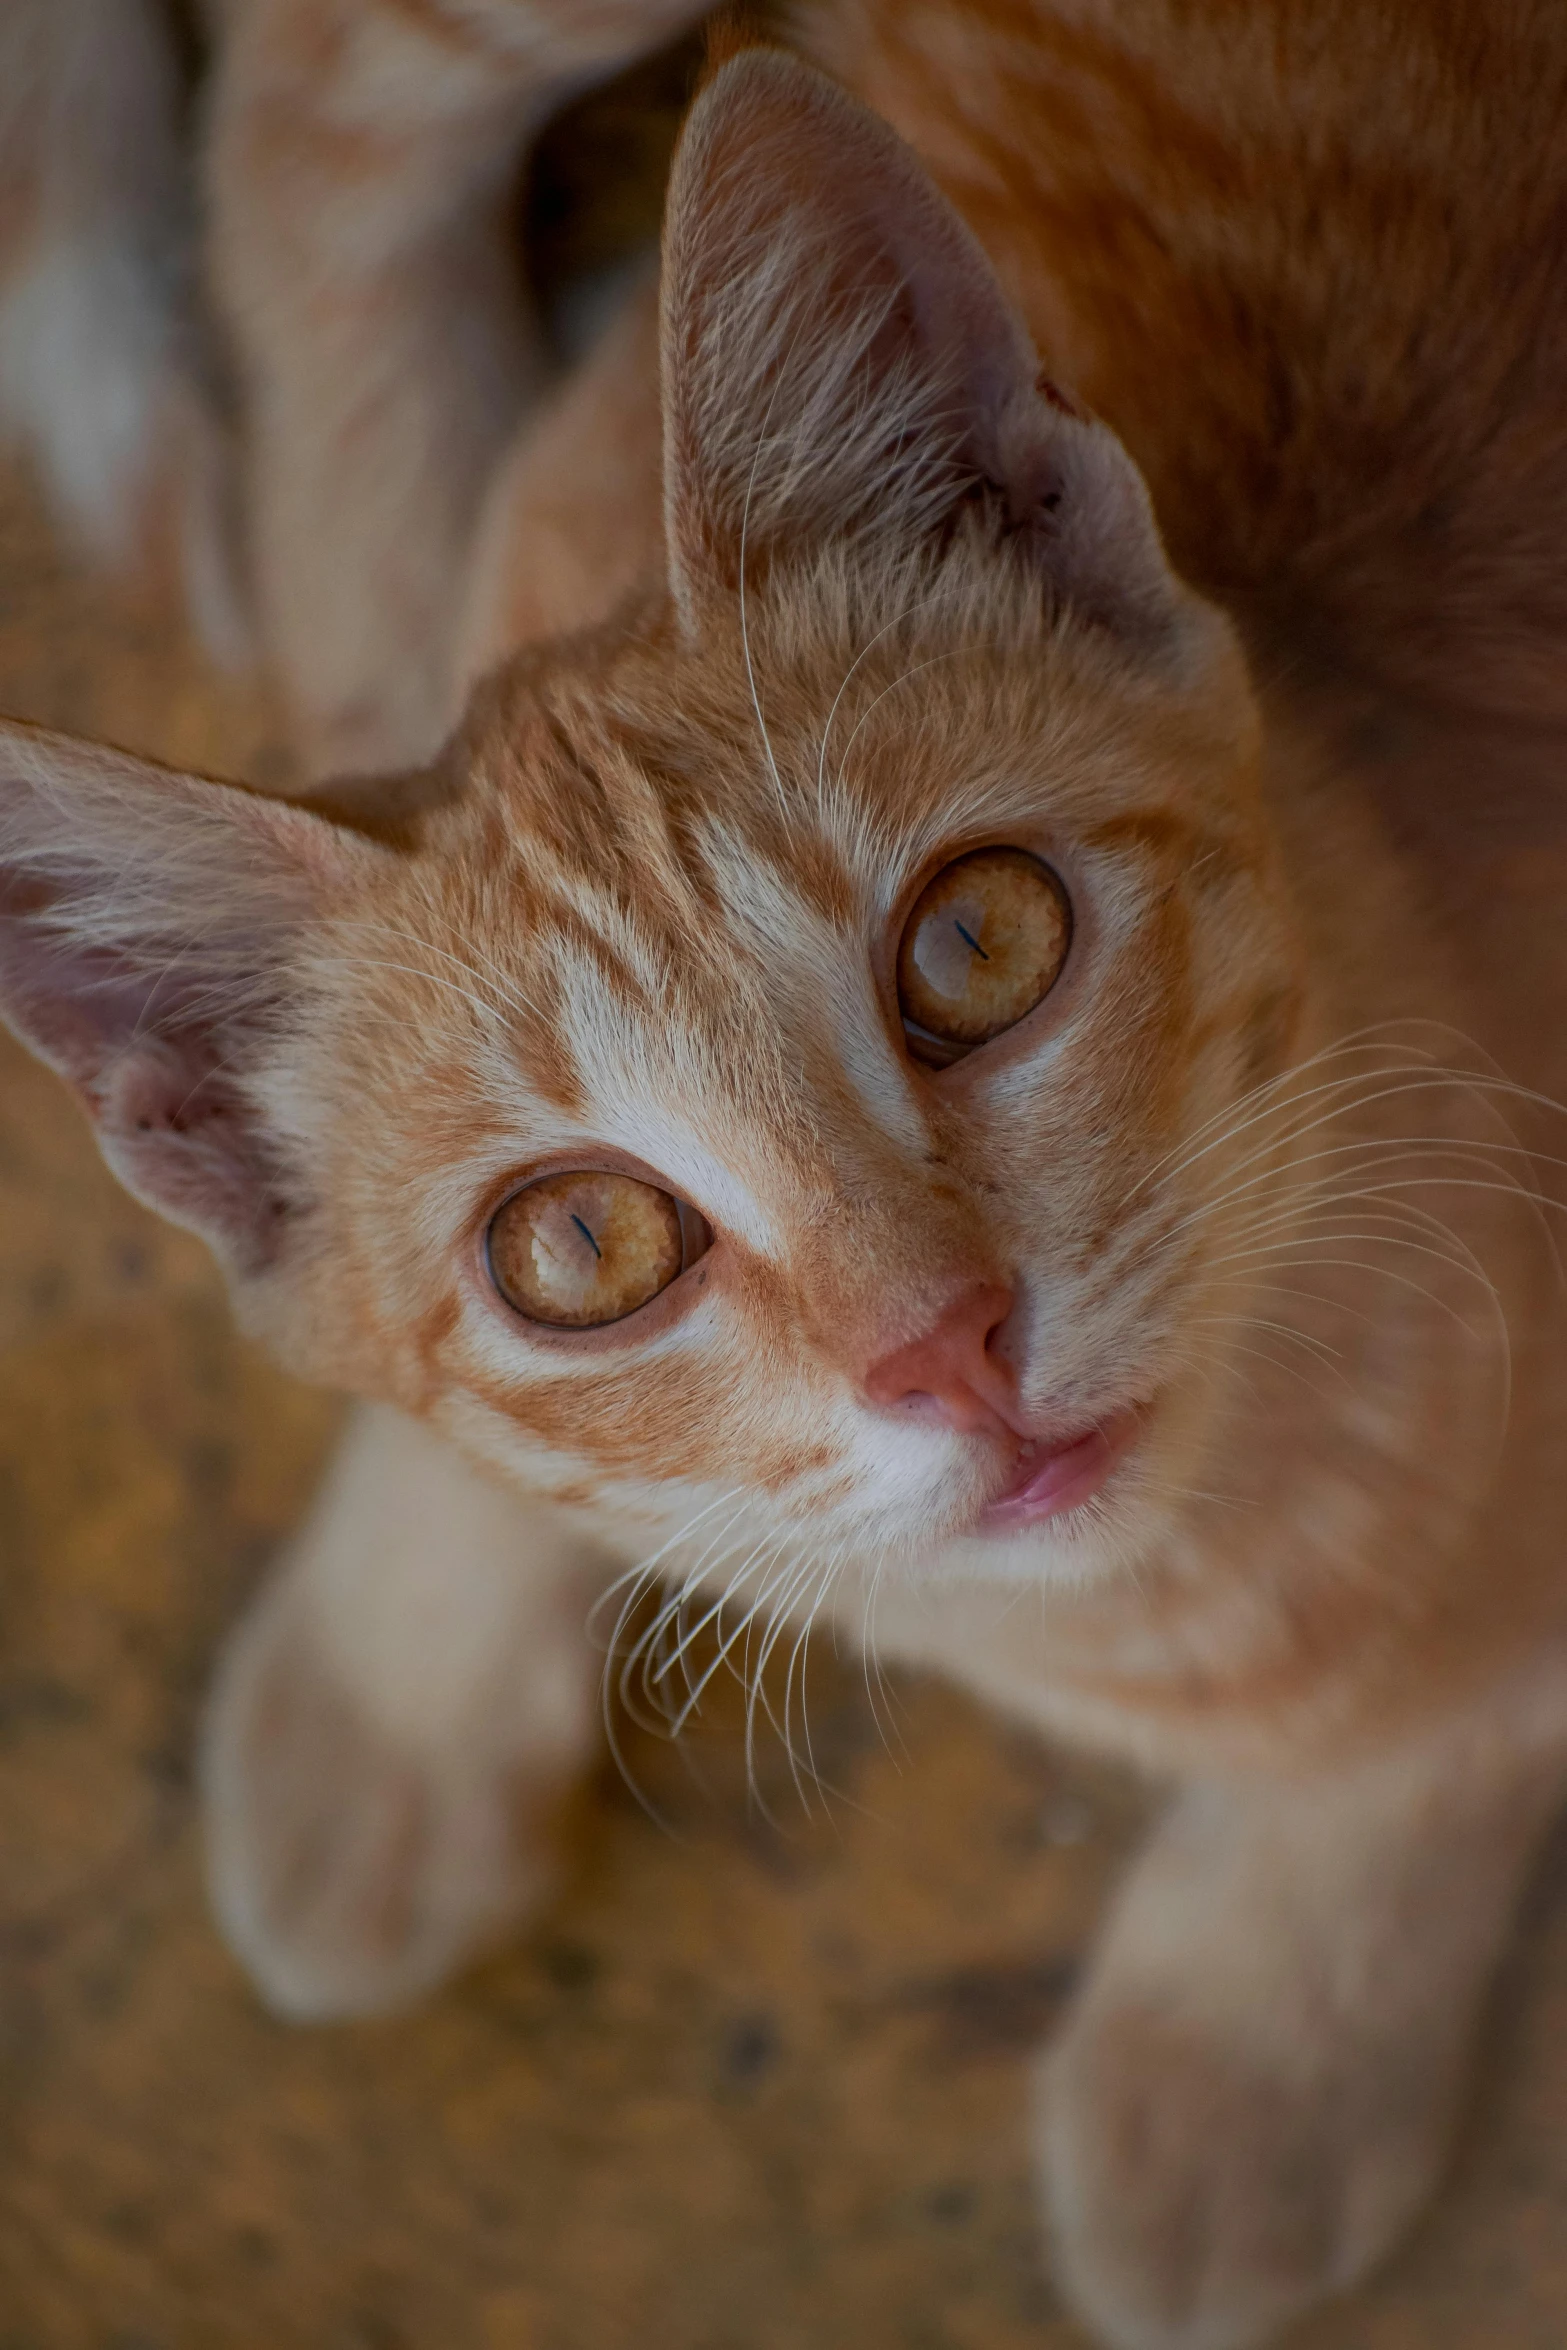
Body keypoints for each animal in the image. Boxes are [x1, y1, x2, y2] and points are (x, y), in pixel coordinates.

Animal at [3, 4, 1567, 2350]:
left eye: (979, 942)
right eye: (582, 1241)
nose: (951, 1346)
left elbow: (1444, 1708)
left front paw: (1256, 2037)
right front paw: (397, 1673)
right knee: (317, 88)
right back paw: (359, 581)